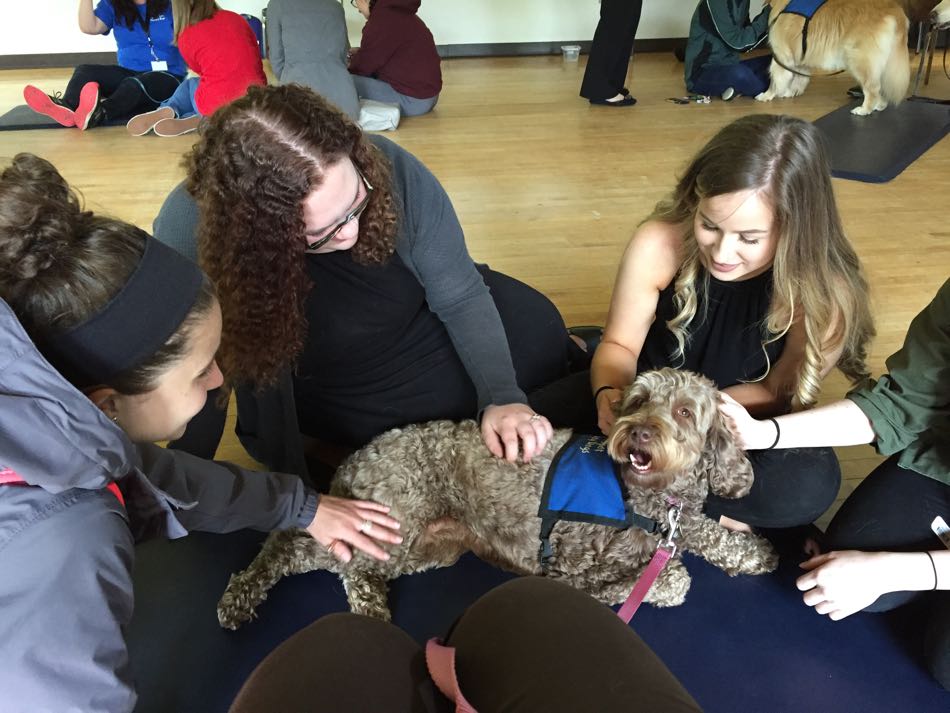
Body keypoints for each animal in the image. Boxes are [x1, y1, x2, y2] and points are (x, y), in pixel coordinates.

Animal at [218, 370, 780, 624]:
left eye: (684, 411)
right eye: (638, 401)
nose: (638, 432)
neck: (644, 498)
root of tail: (352, 460)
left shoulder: (679, 524)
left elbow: (698, 539)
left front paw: (749, 553)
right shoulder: (573, 560)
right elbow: (673, 580)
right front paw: (614, 593)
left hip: (426, 547)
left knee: (318, 552)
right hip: (395, 523)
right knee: (328, 556)